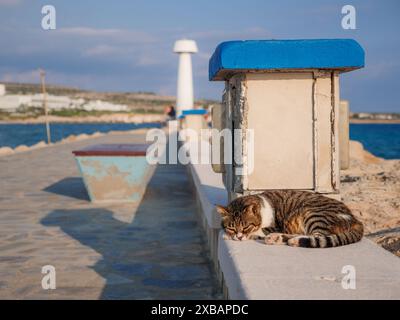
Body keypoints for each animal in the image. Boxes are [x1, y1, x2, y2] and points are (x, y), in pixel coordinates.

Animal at [217, 190, 364, 248]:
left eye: (246, 226)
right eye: (231, 227)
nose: (239, 236)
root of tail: (355, 219)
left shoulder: (275, 226)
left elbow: (258, 231)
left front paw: (227, 235)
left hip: (313, 213)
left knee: (317, 236)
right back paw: (276, 238)